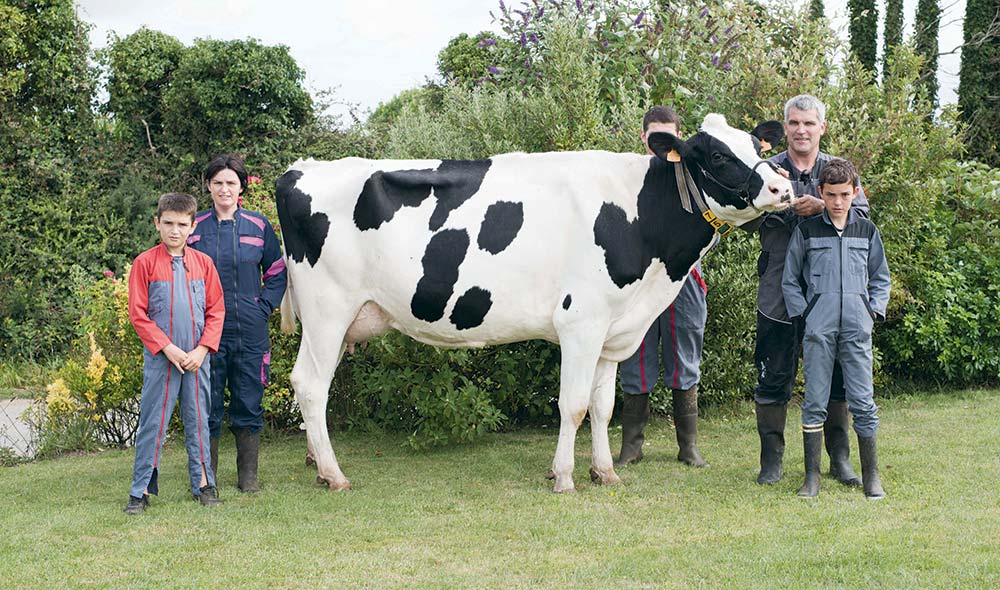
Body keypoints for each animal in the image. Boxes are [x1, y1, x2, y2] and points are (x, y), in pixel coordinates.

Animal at [278, 115, 792, 494]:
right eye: (719, 155)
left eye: (758, 145)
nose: (782, 188)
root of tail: (301, 168)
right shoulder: (581, 322)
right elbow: (574, 405)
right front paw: (564, 476)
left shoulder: (612, 329)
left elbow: (604, 406)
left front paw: (605, 472)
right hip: (328, 311)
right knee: (311, 385)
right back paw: (335, 475)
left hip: (337, 322)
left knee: (308, 385)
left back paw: (318, 465)